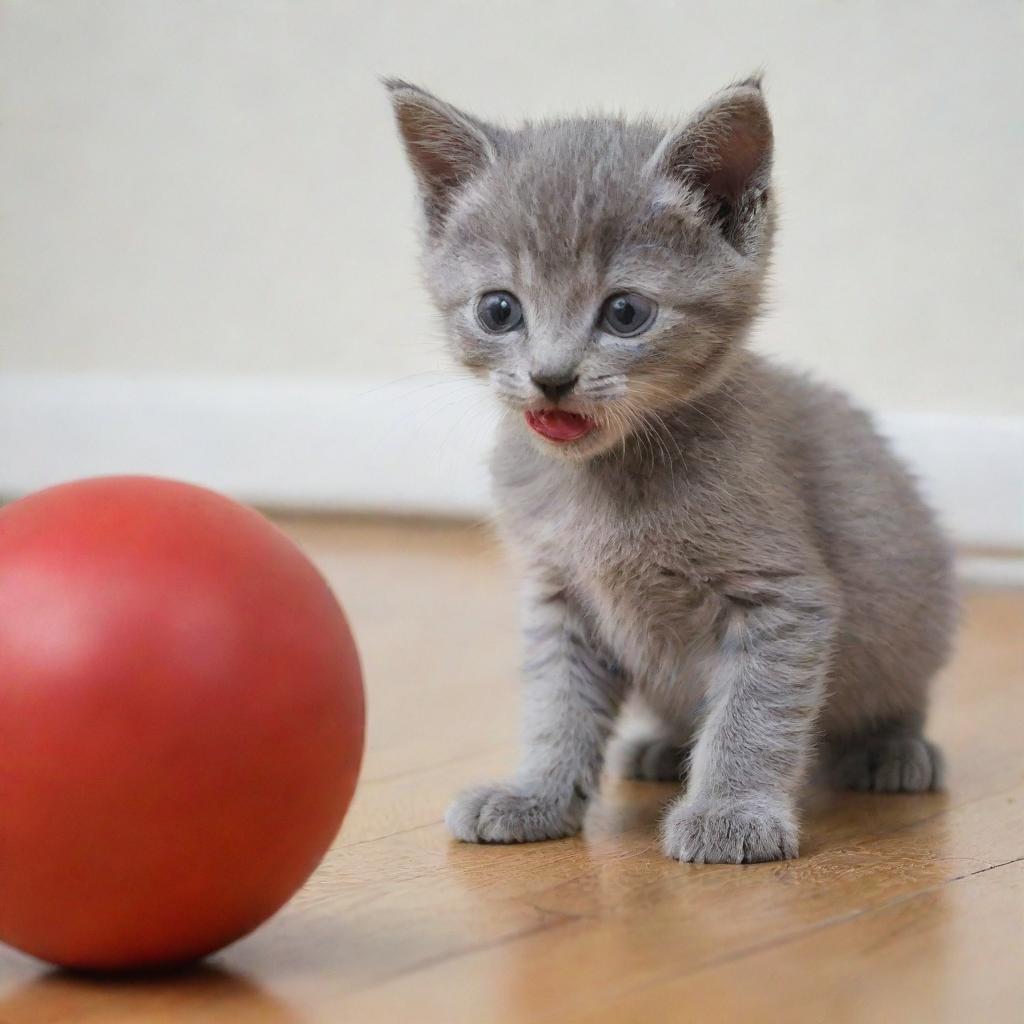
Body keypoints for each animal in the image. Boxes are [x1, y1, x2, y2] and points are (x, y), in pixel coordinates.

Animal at [385, 77, 950, 864]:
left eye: (625, 312)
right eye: (499, 309)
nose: (551, 378)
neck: (602, 482)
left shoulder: (782, 599)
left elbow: (753, 713)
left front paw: (731, 812)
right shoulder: (560, 595)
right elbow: (556, 702)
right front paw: (537, 795)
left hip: (910, 611)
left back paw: (890, 748)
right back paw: (660, 747)